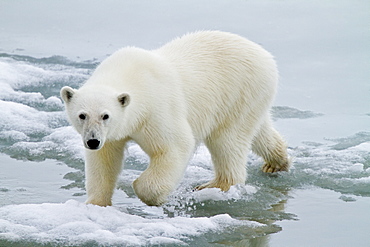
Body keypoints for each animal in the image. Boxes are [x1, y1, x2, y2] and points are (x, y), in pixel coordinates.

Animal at [60, 30, 290, 206]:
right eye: (82, 115)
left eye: (105, 115)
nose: (92, 141)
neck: (130, 76)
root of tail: (265, 55)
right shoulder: (112, 135)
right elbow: (104, 160)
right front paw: (96, 204)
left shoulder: (155, 109)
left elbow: (175, 146)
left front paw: (148, 193)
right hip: (249, 99)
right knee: (257, 130)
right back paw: (276, 162)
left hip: (239, 91)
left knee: (228, 140)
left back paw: (216, 185)